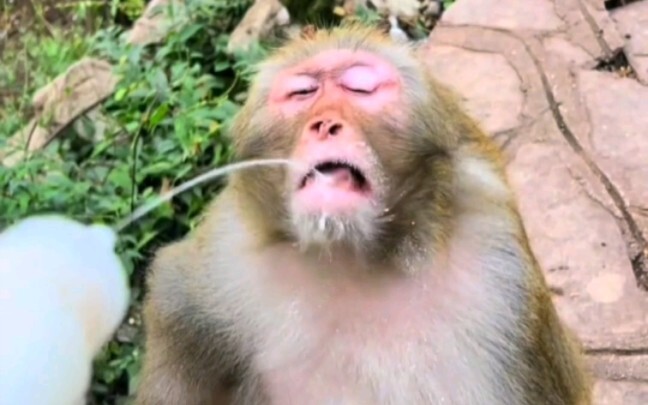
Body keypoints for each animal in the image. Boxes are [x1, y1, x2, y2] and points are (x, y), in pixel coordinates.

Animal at [135, 24, 592, 405]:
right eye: (302, 93)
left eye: (360, 87)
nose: (324, 124)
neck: (353, 259)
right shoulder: (221, 262)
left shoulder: (500, 279)